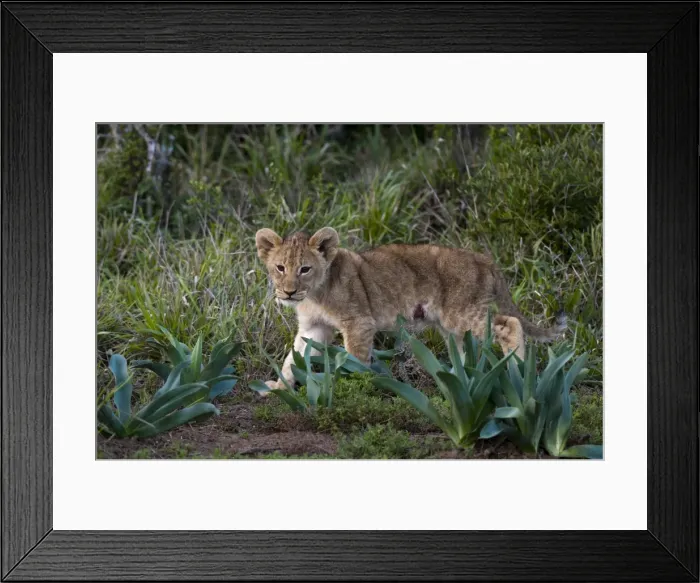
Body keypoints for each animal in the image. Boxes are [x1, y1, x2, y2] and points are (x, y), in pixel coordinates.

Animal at [255, 226, 566, 391]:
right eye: (280, 268)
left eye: (305, 269)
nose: (289, 291)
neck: (314, 294)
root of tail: (484, 259)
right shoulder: (314, 327)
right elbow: (293, 358)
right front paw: (278, 388)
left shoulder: (358, 322)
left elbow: (355, 357)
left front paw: (351, 387)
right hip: (450, 325)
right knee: (465, 346)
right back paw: (461, 378)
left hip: (463, 313)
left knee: (510, 324)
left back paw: (518, 371)